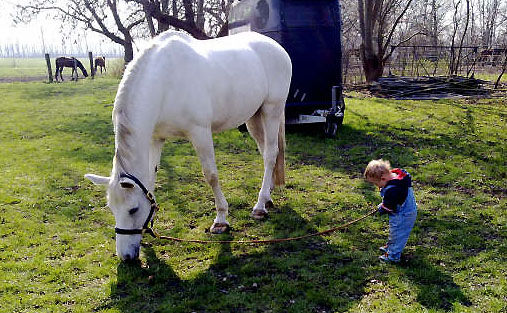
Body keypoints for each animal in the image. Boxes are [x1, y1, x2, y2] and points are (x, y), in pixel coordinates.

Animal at [85, 31, 292, 260]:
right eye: (112, 209)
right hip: (254, 117)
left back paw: (260, 206)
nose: (126, 257)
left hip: (272, 110)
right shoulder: (156, 138)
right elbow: (151, 177)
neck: (165, 81)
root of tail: (276, 46)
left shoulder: (200, 133)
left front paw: (221, 221)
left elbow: (211, 176)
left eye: (133, 209)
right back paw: (268, 196)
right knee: (265, 152)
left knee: (270, 154)